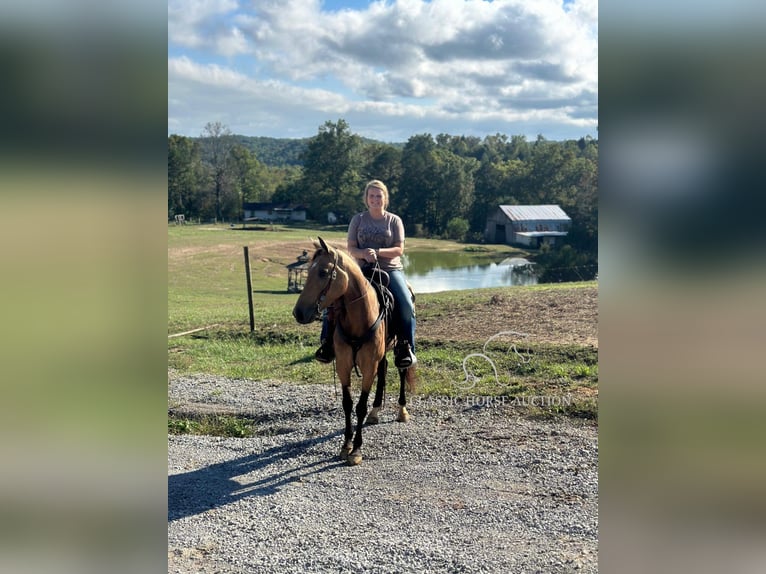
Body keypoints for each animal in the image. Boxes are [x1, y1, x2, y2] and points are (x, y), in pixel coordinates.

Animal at [294, 236, 416, 466]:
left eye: (323, 272)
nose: (298, 313)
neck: (359, 318)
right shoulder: (343, 365)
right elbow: (348, 404)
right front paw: (345, 446)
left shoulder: (368, 367)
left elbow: (360, 406)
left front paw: (357, 450)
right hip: (381, 353)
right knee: (383, 370)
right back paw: (375, 412)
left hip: (399, 348)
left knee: (401, 370)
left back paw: (402, 410)